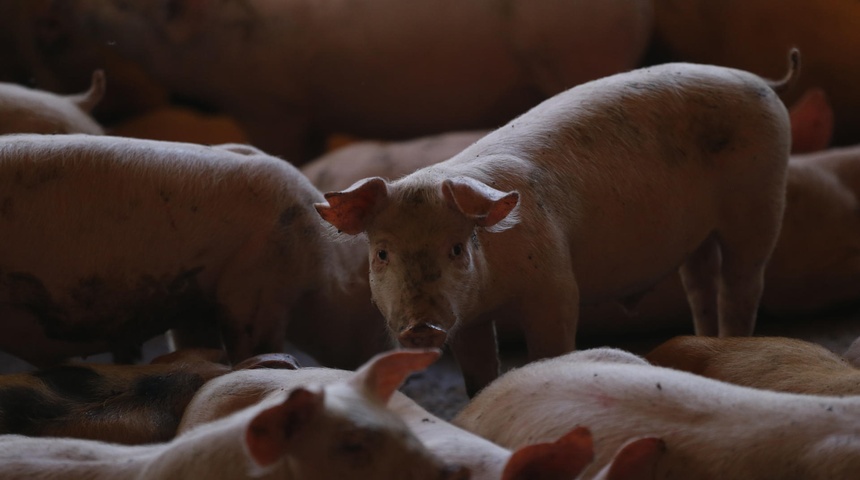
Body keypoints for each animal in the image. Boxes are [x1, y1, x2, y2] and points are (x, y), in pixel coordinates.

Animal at [318, 53, 800, 398]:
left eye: (456, 248)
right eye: (382, 253)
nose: (420, 326)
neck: (495, 290)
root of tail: (761, 80)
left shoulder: (554, 282)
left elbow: (551, 345)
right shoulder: (469, 317)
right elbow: (477, 375)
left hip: (761, 199)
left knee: (742, 284)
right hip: (697, 236)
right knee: (700, 284)